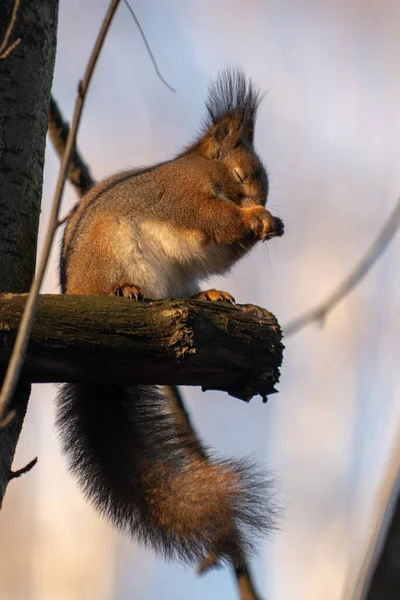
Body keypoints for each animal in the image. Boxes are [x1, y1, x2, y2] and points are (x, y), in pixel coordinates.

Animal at [57, 69, 284, 568]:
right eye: (240, 174)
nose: (261, 201)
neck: (202, 170)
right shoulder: (183, 195)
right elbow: (213, 218)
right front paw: (256, 216)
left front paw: (269, 221)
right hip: (110, 251)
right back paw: (124, 290)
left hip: (176, 275)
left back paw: (210, 294)